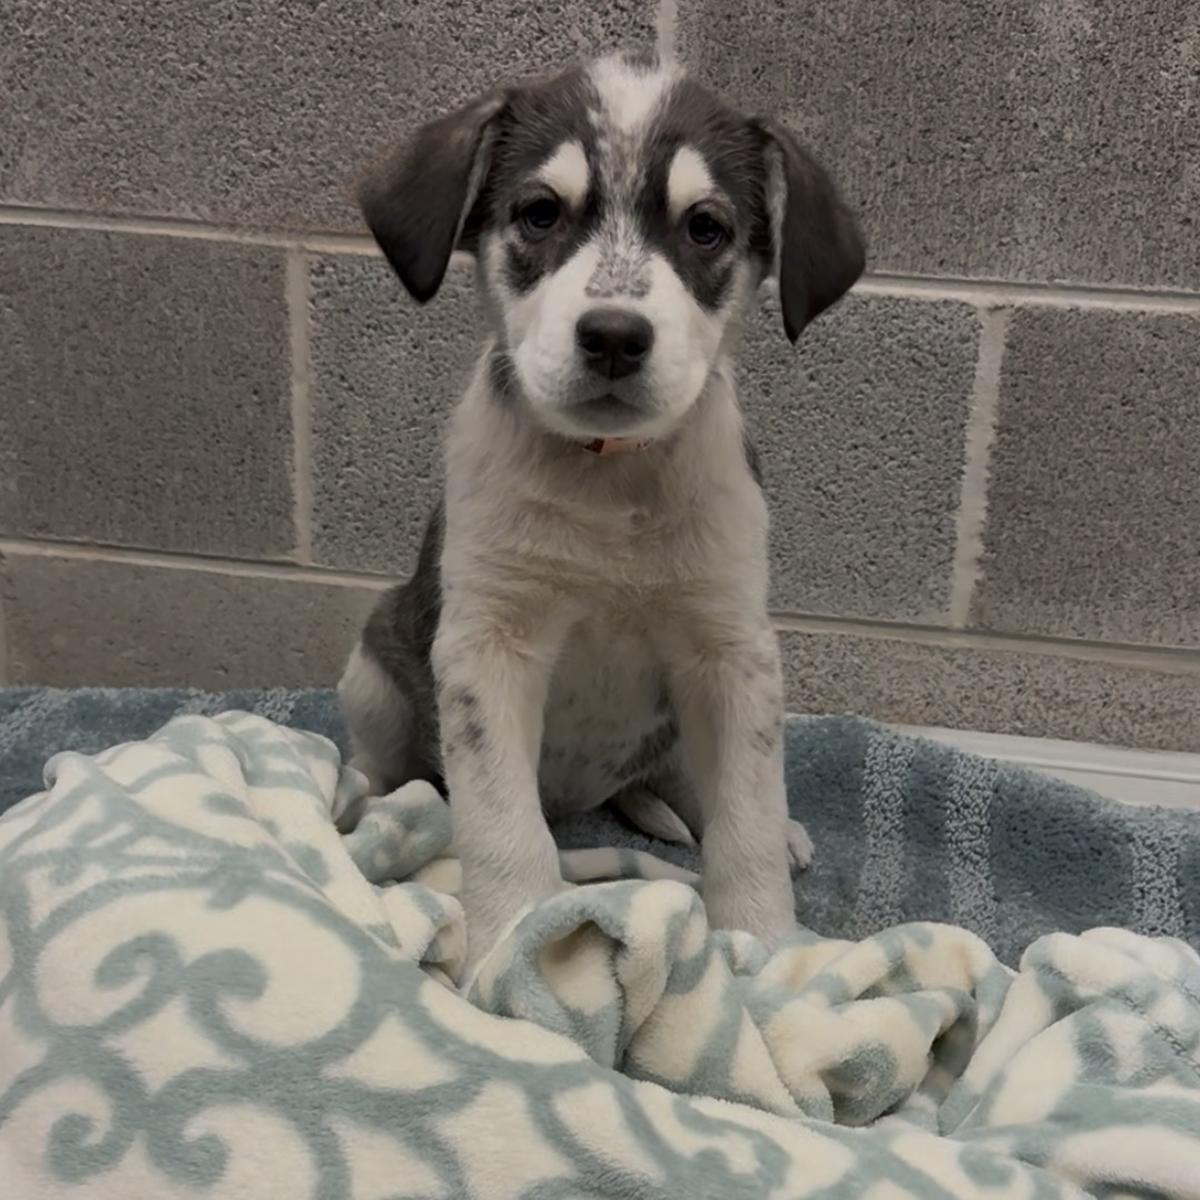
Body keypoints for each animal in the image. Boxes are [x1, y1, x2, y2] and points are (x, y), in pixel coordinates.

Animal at [339, 49, 865, 966]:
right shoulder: (488, 647)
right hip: (372, 670)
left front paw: (763, 948)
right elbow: (499, 825)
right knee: (385, 766)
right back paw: (359, 810)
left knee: (695, 787)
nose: (615, 337)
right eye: (541, 213)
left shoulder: (732, 651)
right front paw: (515, 944)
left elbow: (746, 820)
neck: (611, 484)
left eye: (705, 228)